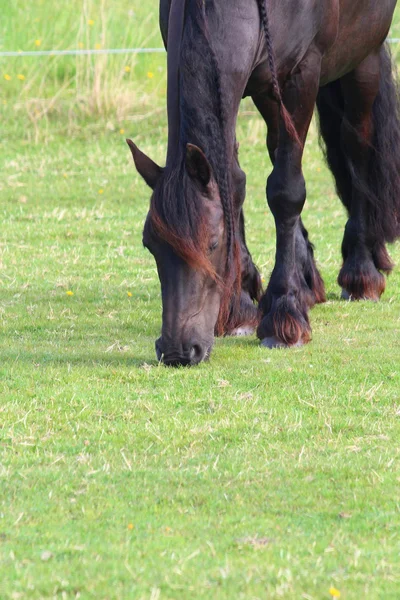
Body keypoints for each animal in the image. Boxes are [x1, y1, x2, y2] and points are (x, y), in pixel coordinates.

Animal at [127, 0, 400, 366]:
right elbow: (234, 184)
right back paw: (306, 282)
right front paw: (242, 306)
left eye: (212, 244)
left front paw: (284, 315)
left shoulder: (302, 75)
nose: (177, 351)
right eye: (150, 244)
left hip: (362, 57)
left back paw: (360, 274)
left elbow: (286, 192)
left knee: (356, 145)